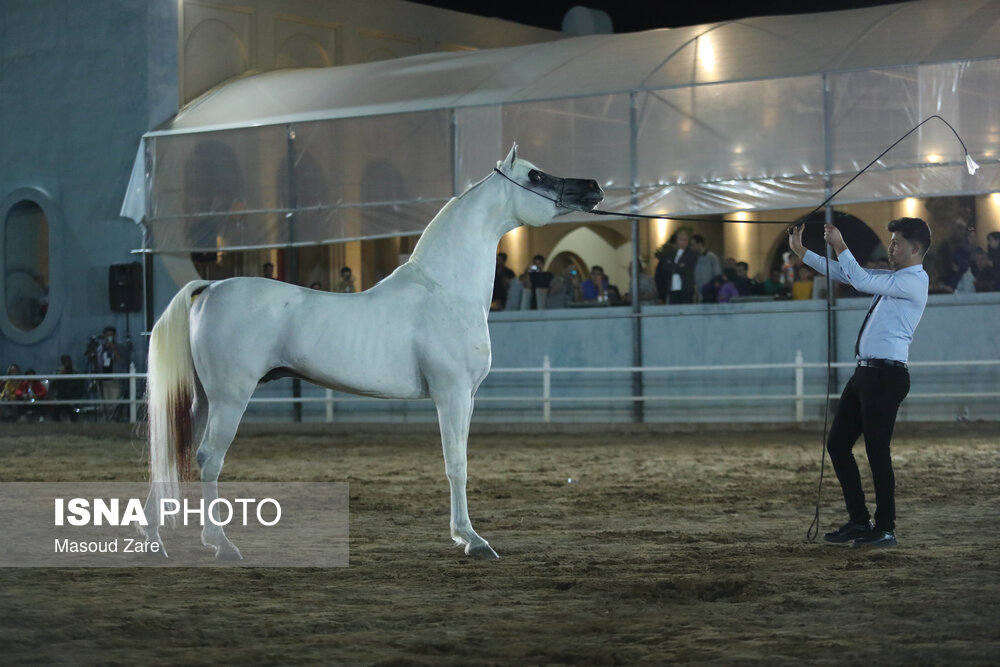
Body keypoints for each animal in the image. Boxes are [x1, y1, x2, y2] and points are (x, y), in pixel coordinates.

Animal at [141, 146, 600, 560]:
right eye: (535, 176)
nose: (592, 188)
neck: (444, 289)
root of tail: (210, 287)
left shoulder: (466, 398)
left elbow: (461, 462)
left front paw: (464, 534)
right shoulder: (451, 395)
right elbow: (456, 465)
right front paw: (472, 540)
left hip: (202, 399)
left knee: (174, 451)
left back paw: (153, 539)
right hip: (229, 399)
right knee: (208, 459)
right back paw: (221, 545)